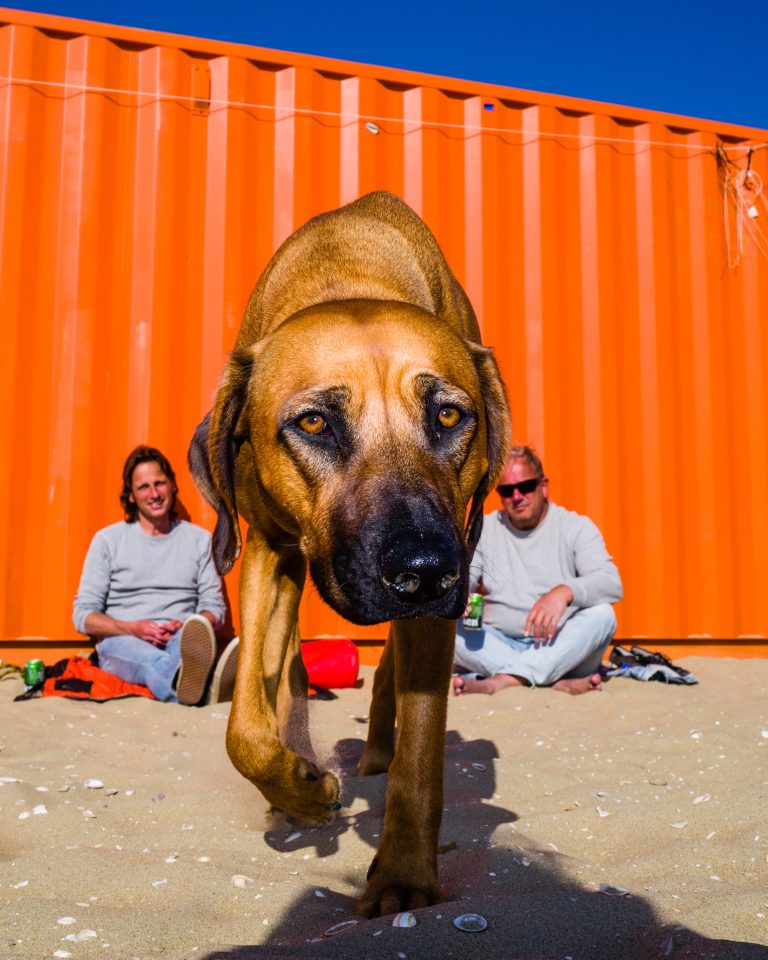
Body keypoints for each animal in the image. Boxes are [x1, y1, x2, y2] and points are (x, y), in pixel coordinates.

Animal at [189, 189, 510, 916]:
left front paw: (403, 879)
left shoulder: (438, 594)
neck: (348, 272)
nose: (425, 570)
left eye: (449, 415)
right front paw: (302, 789)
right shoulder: (267, 552)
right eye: (314, 422)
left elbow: (421, 753)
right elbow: (244, 726)